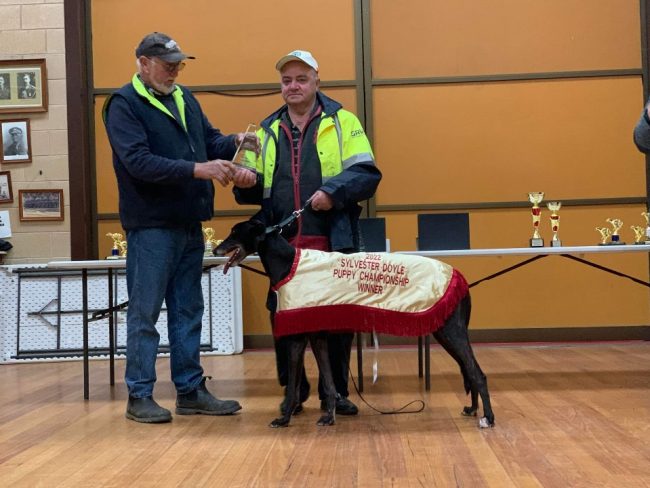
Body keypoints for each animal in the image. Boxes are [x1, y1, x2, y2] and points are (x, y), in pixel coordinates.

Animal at [215, 219, 495, 429]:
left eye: (234, 232)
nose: (216, 250)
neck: (289, 263)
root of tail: (460, 278)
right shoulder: (313, 336)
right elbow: (325, 382)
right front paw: (325, 416)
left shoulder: (299, 336)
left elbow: (295, 384)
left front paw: (285, 419)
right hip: (443, 332)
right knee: (469, 370)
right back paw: (472, 408)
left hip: (452, 331)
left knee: (477, 373)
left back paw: (488, 418)